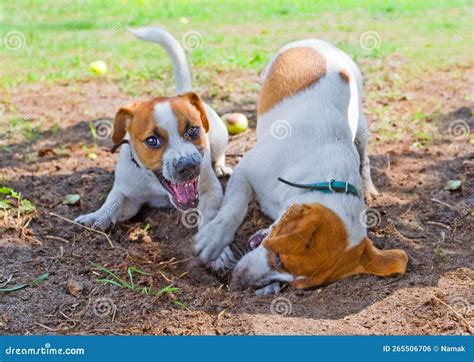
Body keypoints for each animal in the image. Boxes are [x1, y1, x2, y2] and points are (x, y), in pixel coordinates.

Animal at [74, 26, 235, 268]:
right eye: (152, 141)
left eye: (193, 130)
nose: (188, 166)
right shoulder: (127, 194)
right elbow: (113, 201)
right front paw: (97, 216)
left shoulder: (210, 192)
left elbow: (209, 217)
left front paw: (217, 248)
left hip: (219, 135)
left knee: (220, 153)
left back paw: (221, 166)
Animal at [194, 39, 410, 294]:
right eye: (278, 258)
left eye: (298, 284)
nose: (239, 283)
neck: (319, 177)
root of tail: (319, 41)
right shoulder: (245, 171)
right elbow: (233, 209)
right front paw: (215, 237)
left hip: (361, 128)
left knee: (364, 160)